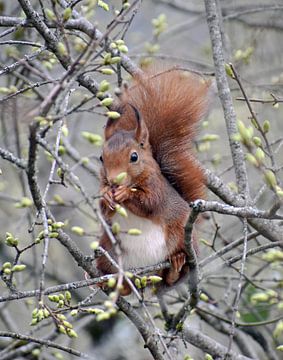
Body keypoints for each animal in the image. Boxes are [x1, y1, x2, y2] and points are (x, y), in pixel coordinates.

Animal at [97, 67, 211, 296]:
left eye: (134, 157)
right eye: (101, 158)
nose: (113, 181)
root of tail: (145, 277)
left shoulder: (157, 188)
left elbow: (150, 203)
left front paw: (125, 194)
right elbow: (104, 211)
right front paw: (106, 196)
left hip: (185, 242)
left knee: (169, 280)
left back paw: (176, 264)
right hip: (107, 251)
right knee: (123, 286)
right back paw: (105, 282)